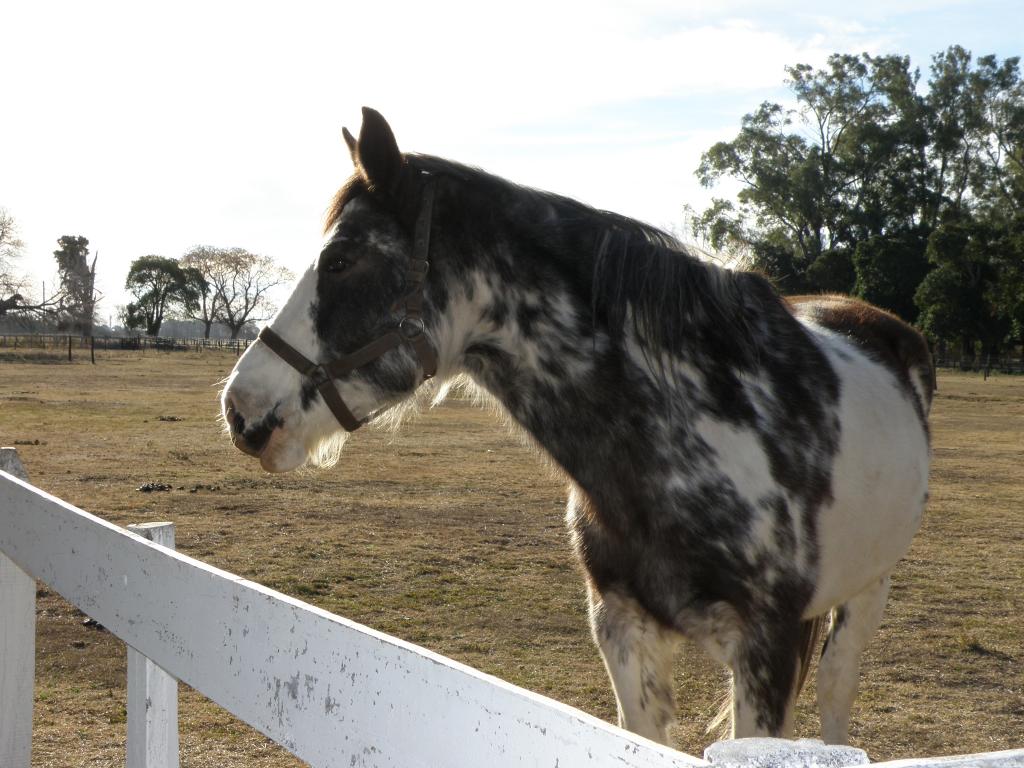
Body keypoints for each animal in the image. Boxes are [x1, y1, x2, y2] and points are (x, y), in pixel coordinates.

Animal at [220, 107, 933, 745]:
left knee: (836, 694)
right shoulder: (620, 628)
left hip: (868, 590)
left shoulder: (766, 650)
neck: (706, 435)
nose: (240, 409)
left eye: (340, 261)